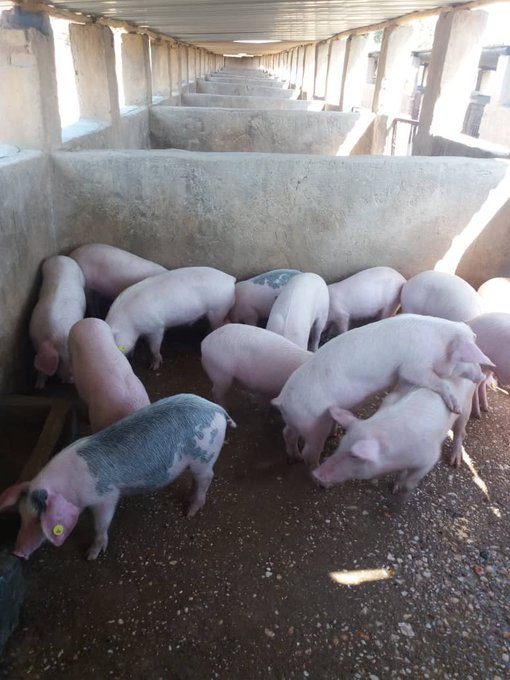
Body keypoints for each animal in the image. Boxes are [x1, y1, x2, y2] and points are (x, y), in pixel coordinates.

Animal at [0, 394, 236, 560]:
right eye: (21, 515)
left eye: (38, 519)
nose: (16, 552)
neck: (69, 489)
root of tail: (216, 408)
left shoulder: (106, 496)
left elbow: (101, 525)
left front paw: (90, 556)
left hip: (203, 457)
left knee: (207, 478)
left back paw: (190, 512)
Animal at [105, 267, 236, 370]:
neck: (130, 323)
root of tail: (231, 279)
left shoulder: (157, 328)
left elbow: (154, 347)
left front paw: (154, 367)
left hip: (218, 309)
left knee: (225, 323)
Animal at [271, 314, 493, 469]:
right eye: (467, 358)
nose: (481, 375)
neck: (437, 344)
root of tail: (282, 399)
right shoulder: (414, 366)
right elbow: (432, 380)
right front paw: (456, 408)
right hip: (313, 424)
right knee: (309, 451)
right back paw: (317, 476)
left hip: (297, 420)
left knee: (287, 433)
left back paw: (294, 457)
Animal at [312, 370, 477, 494]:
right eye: (340, 445)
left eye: (354, 456)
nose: (316, 473)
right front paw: (394, 487)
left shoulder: (430, 457)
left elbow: (413, 478)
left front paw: (400, 491)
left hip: (466, 407)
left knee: (460, 432)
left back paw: (455, 462)